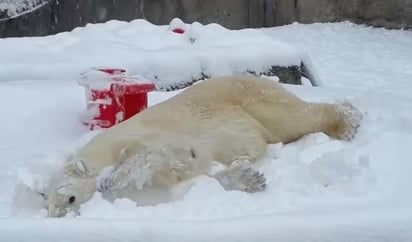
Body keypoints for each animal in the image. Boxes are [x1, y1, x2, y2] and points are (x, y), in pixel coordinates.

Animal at [43, 74, 362, 216]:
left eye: (69, 198)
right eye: (48, 203)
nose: (58, 216)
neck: (100, 152)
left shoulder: (145, 137)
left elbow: (161, 155)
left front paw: (112, 180)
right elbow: (188, 179)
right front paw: (248, 178)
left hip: (247, 97)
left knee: (293, 116)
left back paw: (347, 120)